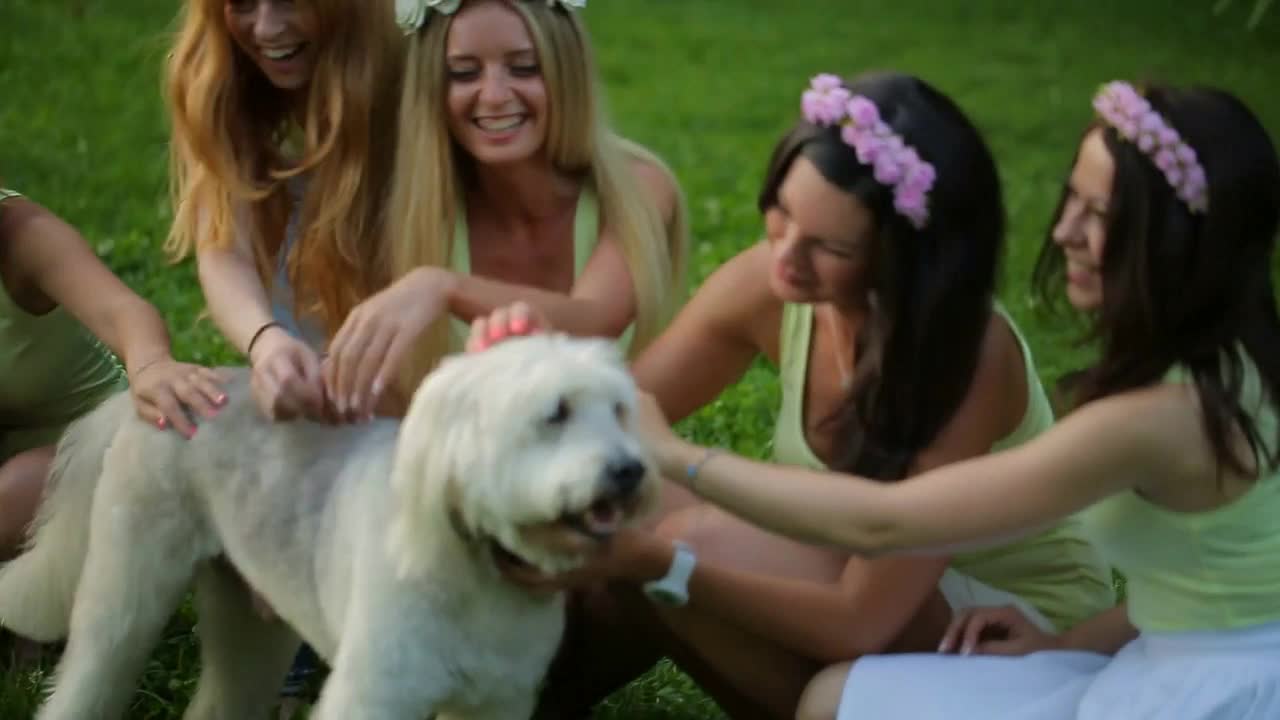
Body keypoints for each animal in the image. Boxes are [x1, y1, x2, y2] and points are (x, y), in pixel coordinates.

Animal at [0, 333, 660, 712]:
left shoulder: (498, 699)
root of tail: (163, 394)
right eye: (556, 414)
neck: (473, 568)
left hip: (249, 616)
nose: (630, 471)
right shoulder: (376, 691)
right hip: (126, 589)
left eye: (620, 410)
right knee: (93, 670)